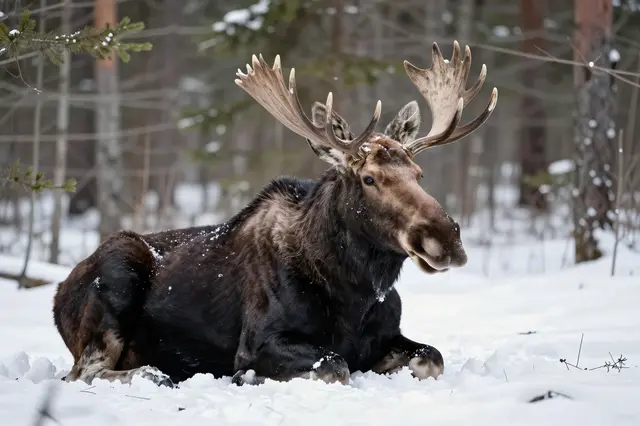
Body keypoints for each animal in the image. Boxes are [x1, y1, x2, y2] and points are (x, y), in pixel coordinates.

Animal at [52, 41, 497, 388]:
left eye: (419, 174)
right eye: (369, 178)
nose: (446, 238)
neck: (353, 292)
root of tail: (58, 297)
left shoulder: (387, 337)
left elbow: (433, 358)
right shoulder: (259, 343)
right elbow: (334, 365)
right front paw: (247, 378)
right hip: (117, 275)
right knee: (83, 373)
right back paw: (154, 373)